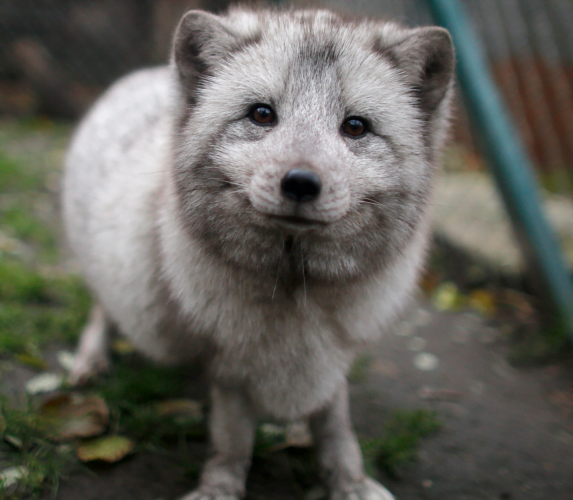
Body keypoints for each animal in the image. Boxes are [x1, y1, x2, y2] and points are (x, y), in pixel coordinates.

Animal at [62, 5, 454, 498]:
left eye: (356, 126)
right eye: (262, 114)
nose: (301, 183)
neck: (294, 293)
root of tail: (140, 74)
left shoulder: (332, 357)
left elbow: (336, 426)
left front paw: (350, 481)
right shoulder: (228, 365)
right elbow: (232, 440)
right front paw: (220, 486)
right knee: (101, 308)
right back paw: (90, 360)